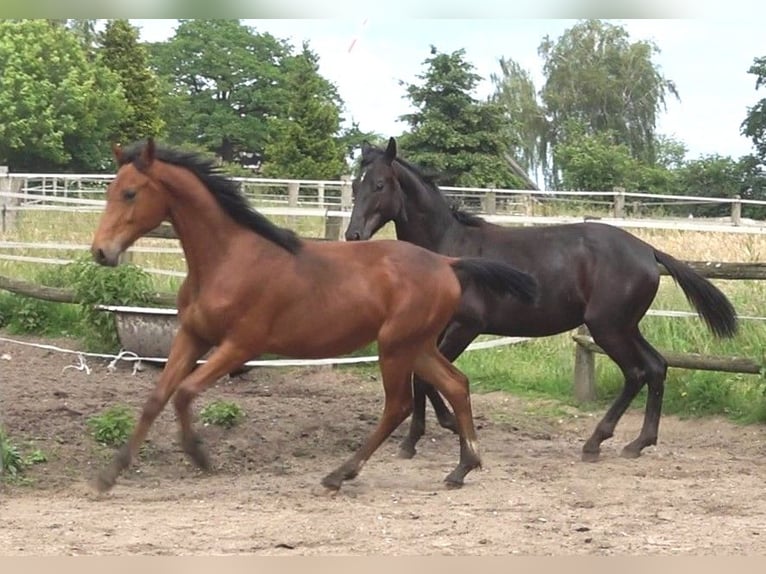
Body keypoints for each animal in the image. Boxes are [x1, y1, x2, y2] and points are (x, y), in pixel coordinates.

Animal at [88, 140, 540, 496]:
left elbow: (183, 393)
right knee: (456, 384)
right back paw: (463, 468)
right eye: (110, 191)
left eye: (130, 193)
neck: (229, 258)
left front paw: (200, 456)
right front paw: (109, 474)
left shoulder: (241, 345)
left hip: (395, 346)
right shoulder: (192, 336)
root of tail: (447, 262)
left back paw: (340, 474)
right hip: (419, 345)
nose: (101, 252)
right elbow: (156, 398)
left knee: (397, 406)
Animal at [344, 138, 740, 464]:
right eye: (354, 185)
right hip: (626, 326)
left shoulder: (465, 326)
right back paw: (639, 442)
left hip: (608, 328)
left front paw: (441, 428)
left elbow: (427, 380)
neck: (449, 249)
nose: (353, 235)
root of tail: (648, 251)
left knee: (637, 372)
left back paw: (595, 443)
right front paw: (415, 439)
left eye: (379, 184)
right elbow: (420, 377)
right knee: (657, 366)